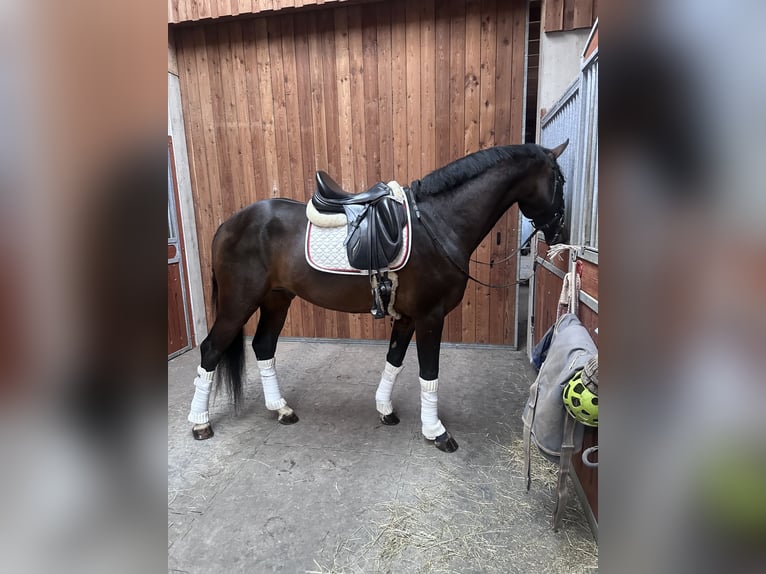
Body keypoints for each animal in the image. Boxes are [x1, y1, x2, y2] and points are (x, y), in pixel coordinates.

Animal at [186, 141, 569, 453]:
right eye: (560, 181)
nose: (559, 234)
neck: (438, 223)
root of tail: (228, 223)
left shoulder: (409, 316)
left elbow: (394, 361)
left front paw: (385, 410)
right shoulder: (431, 316)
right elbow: (429, 373)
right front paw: (436, 432)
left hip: (277, 299)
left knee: (263, 346)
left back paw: (281, 409)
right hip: (238, 303)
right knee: (211, 349)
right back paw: (200, 423)